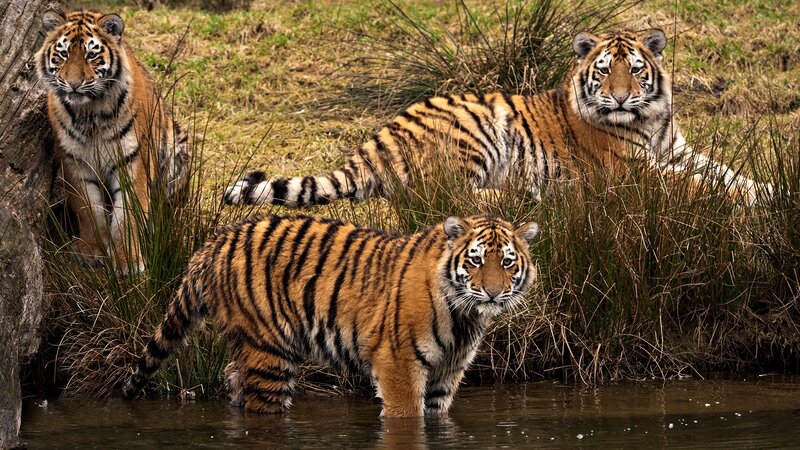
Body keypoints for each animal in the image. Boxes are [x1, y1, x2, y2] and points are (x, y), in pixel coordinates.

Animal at [36, 8, 191, 272]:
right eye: (63, 54)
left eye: (91, 55)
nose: (73, 85)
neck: (90, 113)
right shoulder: (74, 161)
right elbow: (88, 209)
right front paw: (91, 251)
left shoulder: (133, 160)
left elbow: (127, 214)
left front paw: (127, 262)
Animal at [121, 214, 539, 417]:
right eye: (476, 261)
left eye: (506, 262)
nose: (493, 292)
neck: (464, 316)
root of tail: (214, 242)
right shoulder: (398, 363)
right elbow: (407, 416)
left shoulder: (447, 372)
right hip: (270, 353)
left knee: (232, 378)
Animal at [224, 28, 771, 208]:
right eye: (603, 72)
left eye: (635, 70)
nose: (618, 100)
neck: (650, 120)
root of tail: (377, 137)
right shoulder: (632, 169)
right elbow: (696, 185)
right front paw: (753, 199)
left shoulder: (678, 151)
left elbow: (725, 173)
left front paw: (768, 190)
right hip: (478, 129)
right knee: (441, 194)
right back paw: (524, 193)